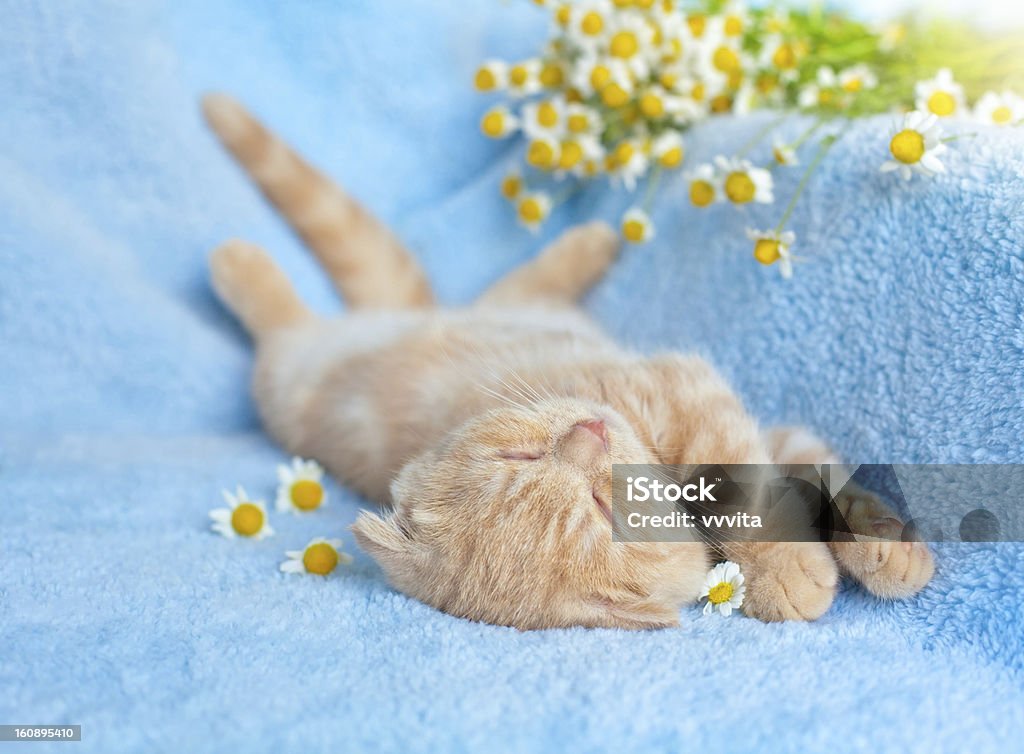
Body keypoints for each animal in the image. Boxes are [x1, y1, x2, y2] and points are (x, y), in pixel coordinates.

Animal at [199, 94, 937, 631]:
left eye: (518, 455)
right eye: (603, 505)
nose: (590, 433)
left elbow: (822, 470)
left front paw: (883, 542)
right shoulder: (693, 399)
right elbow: (749, 500)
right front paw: (789, 574)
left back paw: (594, 238)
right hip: (288, 372)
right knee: (281, 324)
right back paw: (237, 262)